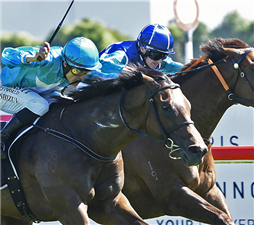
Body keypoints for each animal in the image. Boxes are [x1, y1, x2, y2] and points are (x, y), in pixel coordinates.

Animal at [0, 67, 208, 224]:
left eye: (188, 105)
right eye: (166, 107)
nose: (198, 150)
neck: (87, 140)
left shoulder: (109, 203)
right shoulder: (69, 208)